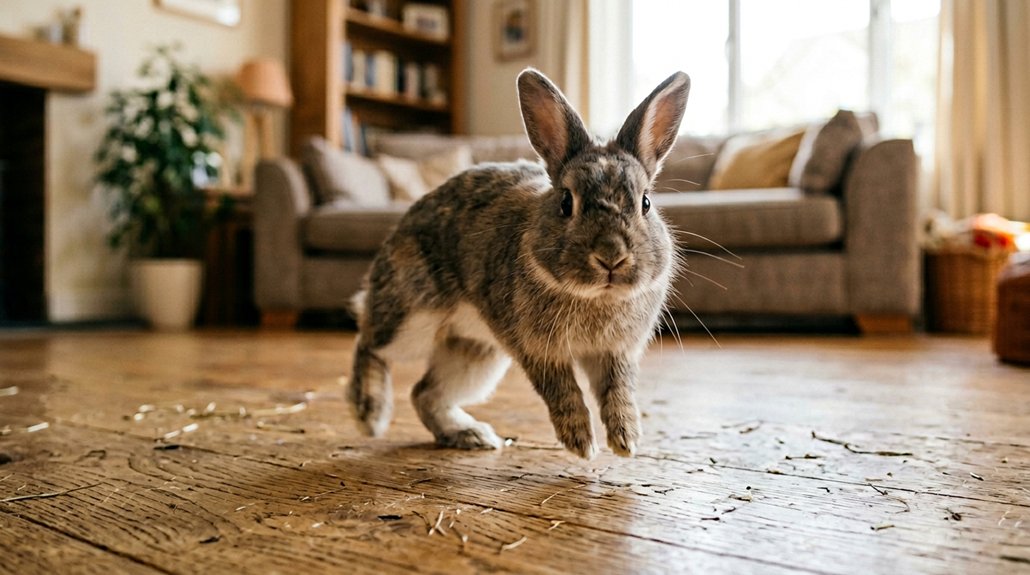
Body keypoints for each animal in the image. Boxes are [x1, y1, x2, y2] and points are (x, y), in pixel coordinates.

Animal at [348, 68, 690, 459]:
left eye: (645, 203)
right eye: (566, 202)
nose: (611, 257)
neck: (594, 296)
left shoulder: (615, 354)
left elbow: (618, 391)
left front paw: (625, 440)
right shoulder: (538, 351)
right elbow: (562, 390)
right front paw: (580, 442)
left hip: (475, 353)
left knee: (424, 392)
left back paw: (470, 435)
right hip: (412, 319)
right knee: (370, 340)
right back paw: (369, 413)